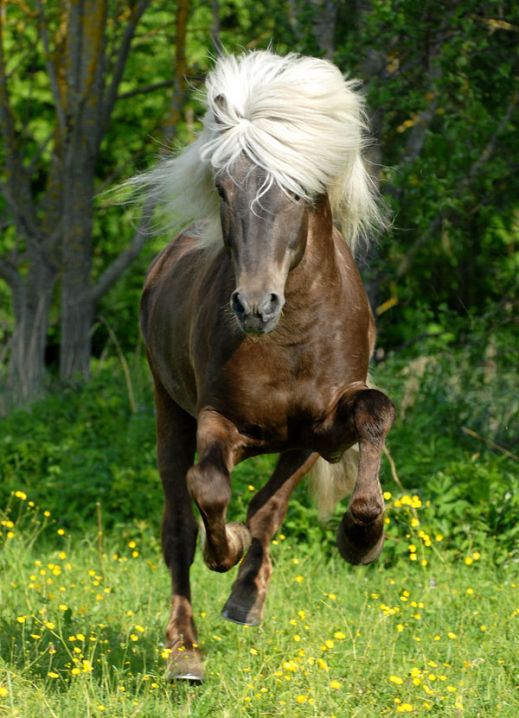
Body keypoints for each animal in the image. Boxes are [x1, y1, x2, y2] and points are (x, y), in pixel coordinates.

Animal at [135, 51, 394, 681]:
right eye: (224, 189)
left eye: (300, 193)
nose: (254, 306)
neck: (291, 339)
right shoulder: (218, 420)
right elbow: (208, 490)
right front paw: (223, 547)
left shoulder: (322, 431)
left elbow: (371, 415)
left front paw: (361, 535)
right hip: (167, 409)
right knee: (178, 527)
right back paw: (185, 652)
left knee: (265, 508)